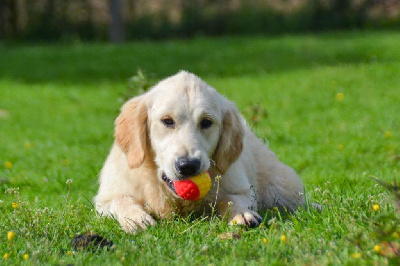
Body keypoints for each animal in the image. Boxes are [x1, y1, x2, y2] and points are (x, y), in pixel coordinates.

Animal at [94, 71, 306, 233]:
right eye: (167, 121)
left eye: (206, 122)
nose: (188, 166)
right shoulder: (104, 200)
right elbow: (120, 199)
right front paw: (136, 218)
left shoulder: (244, 190)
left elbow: (230, 198)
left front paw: (241, 214)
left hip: (283, 188)